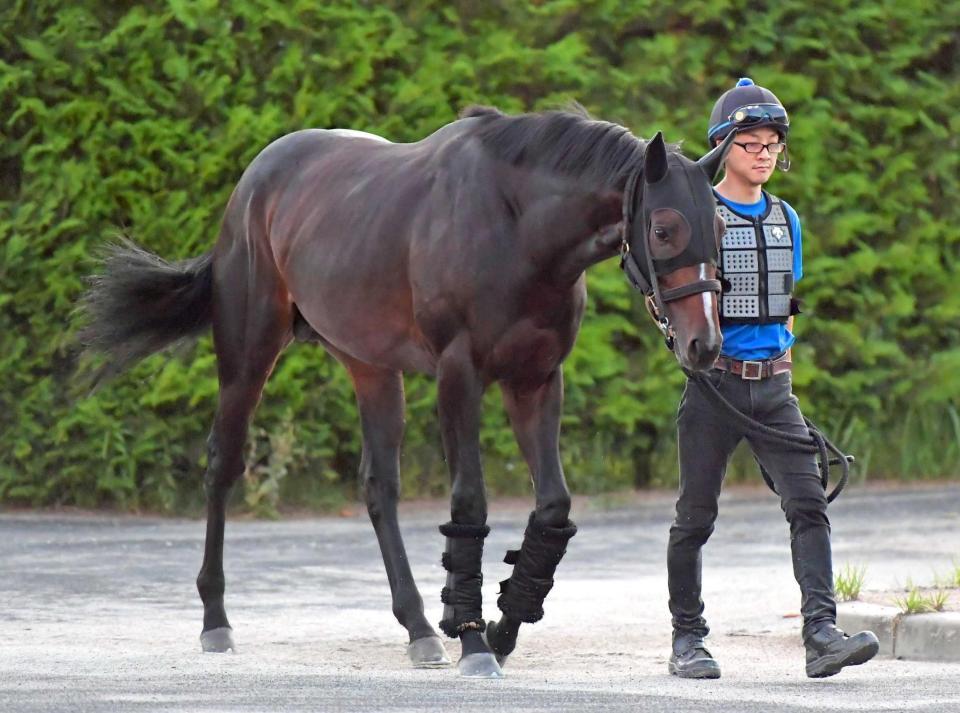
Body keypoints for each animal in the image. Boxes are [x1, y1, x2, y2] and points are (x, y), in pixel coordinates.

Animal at [79, 105, 732, 680]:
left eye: (723, 225)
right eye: (663, 229)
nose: (704, 344)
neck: (515, 226)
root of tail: (255, 180)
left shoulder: (537, 379)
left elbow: (552, 508)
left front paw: (502, 626)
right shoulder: (458, 374)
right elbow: (469, 503)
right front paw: (474, 641)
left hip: (369, 367)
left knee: (378, 486)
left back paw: (418, 628)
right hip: (249, 353)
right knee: (223, 463)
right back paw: (216, 619)